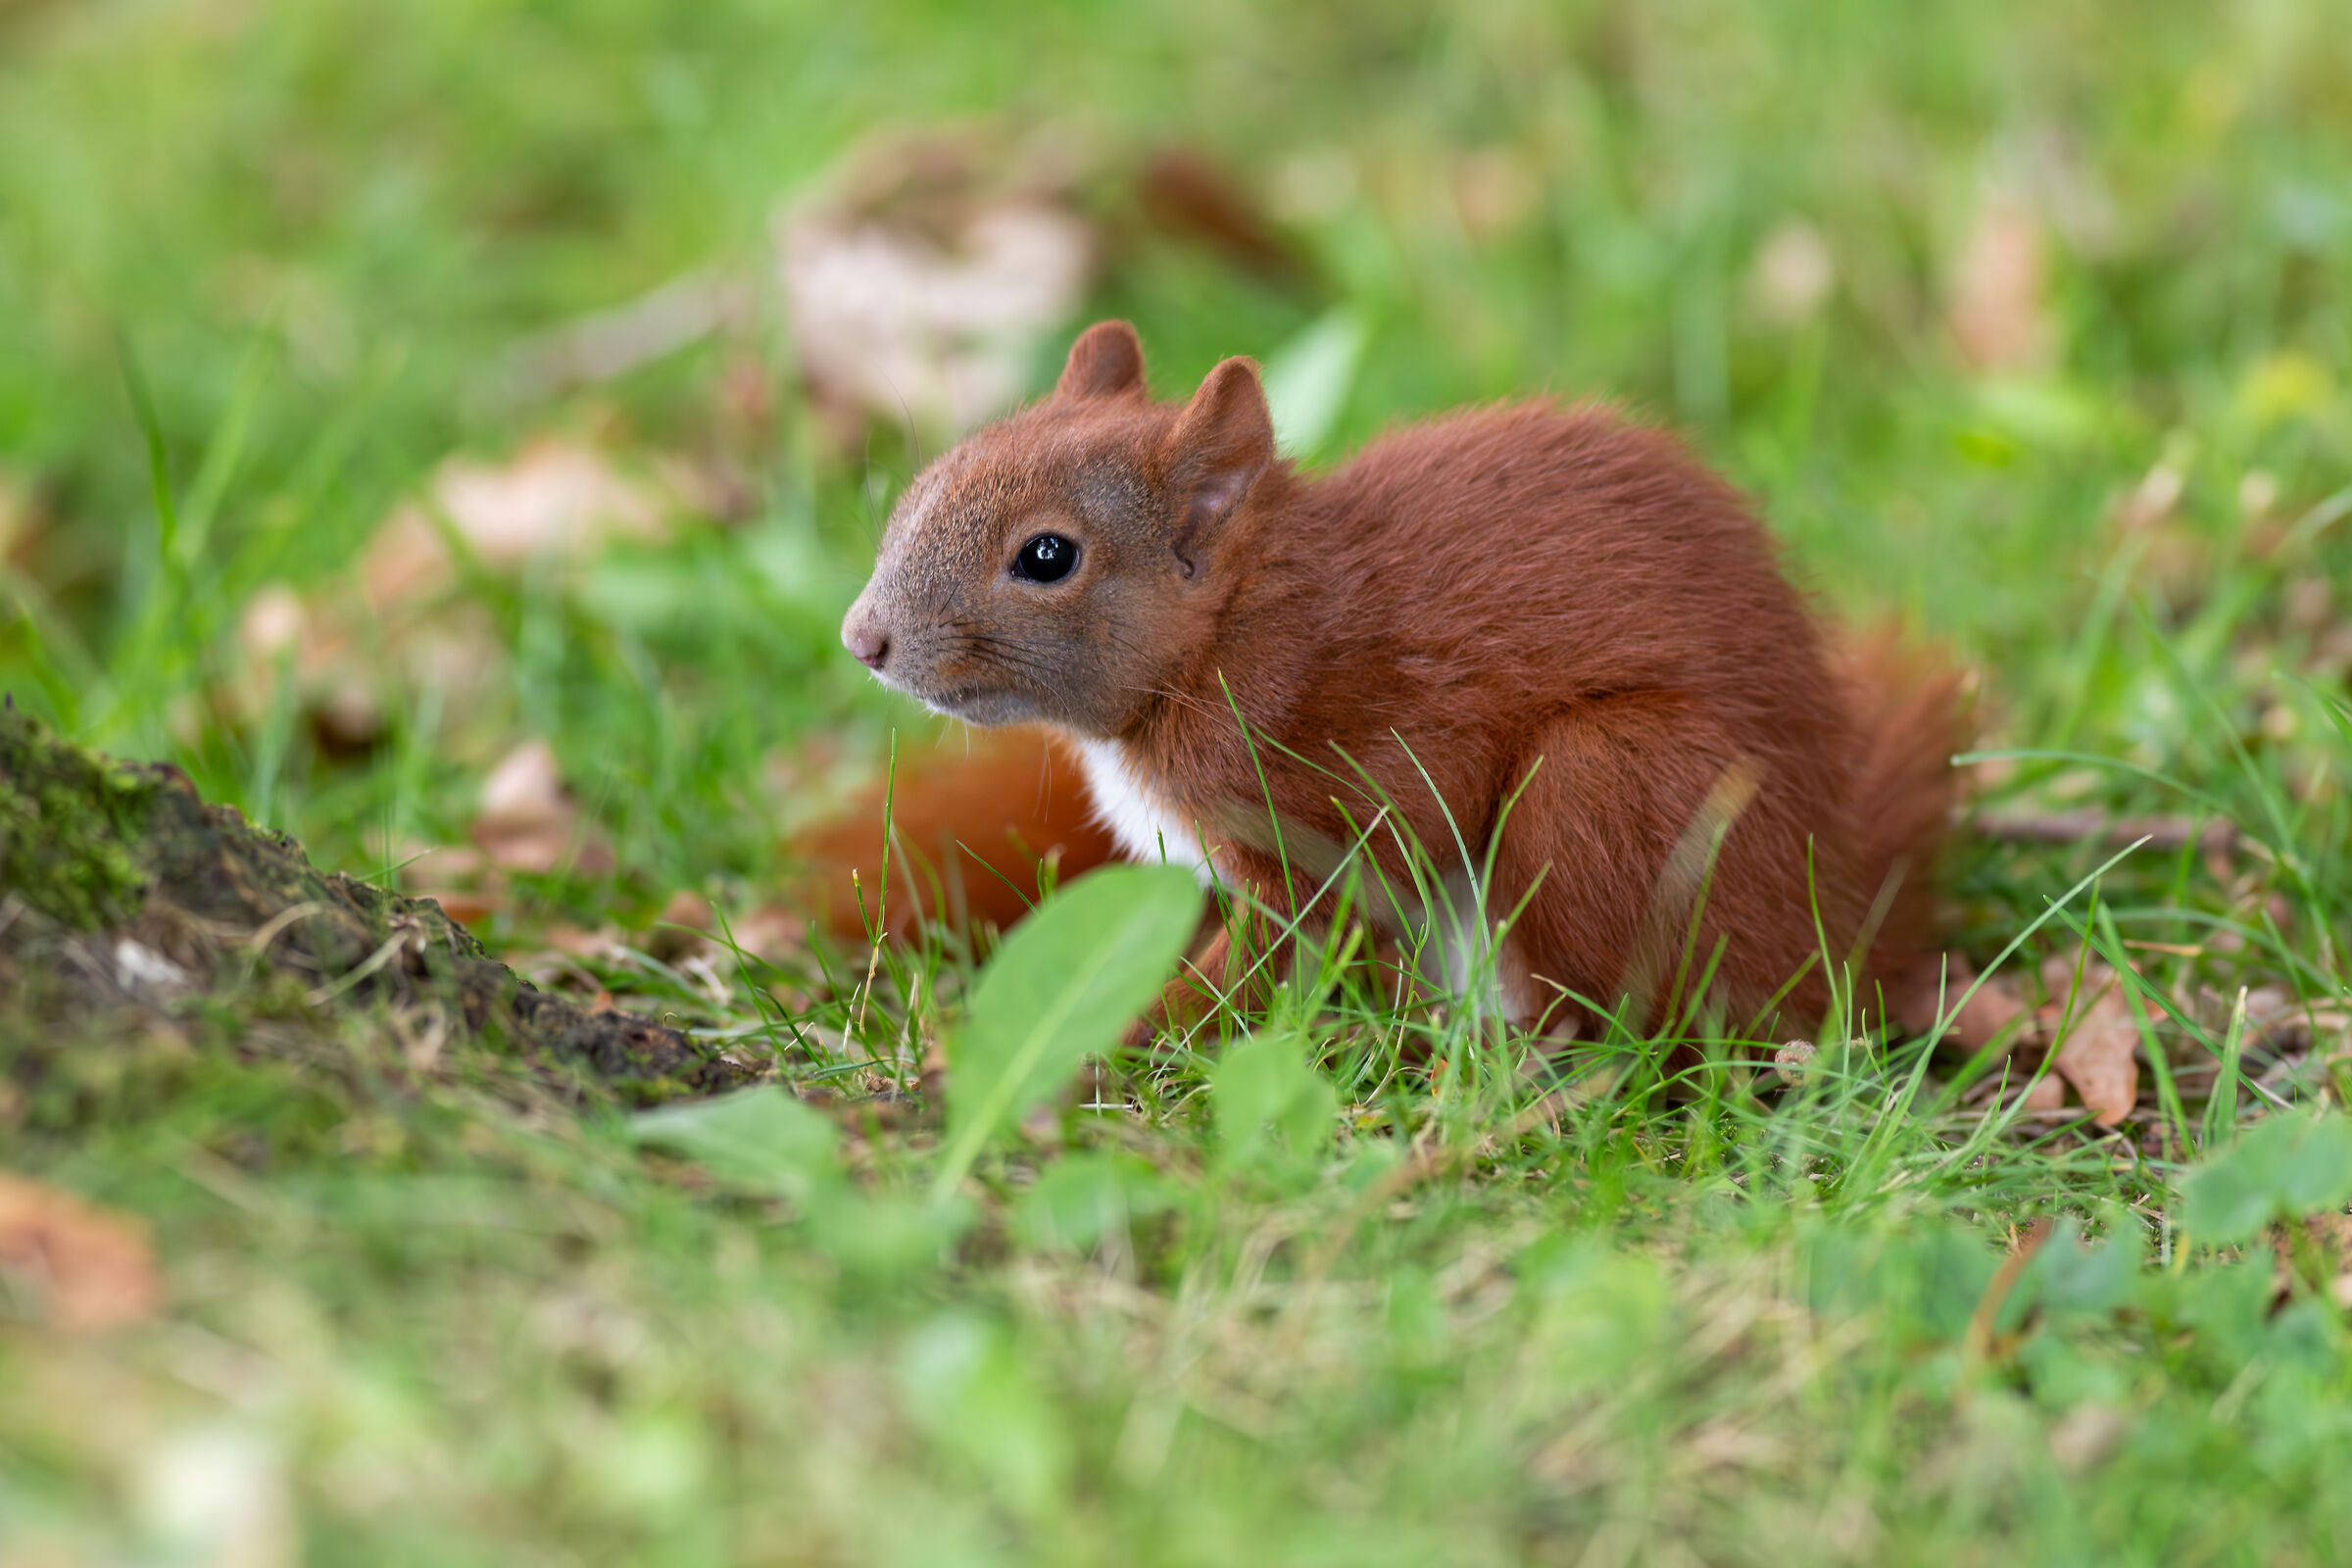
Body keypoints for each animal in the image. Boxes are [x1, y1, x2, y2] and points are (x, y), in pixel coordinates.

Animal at [823, 319, 1967, 1042]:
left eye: (1048, 556)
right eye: (924, 483)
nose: (861, 639)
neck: (1232, 636)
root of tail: (1843, 932)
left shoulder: (1345, 804)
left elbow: (1269, 960)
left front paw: (1117, 1045)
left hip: (1612, 788)